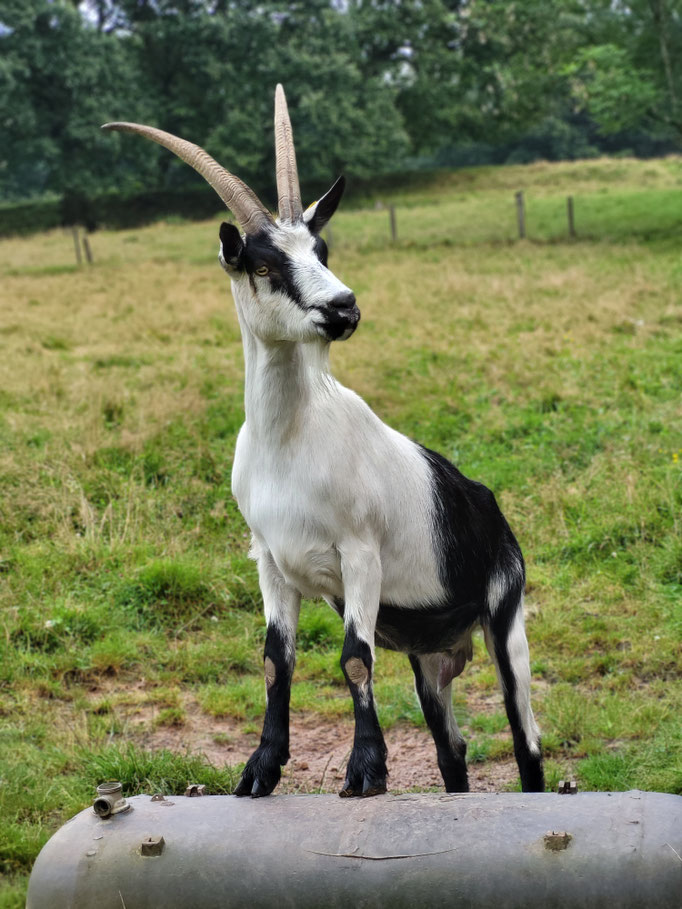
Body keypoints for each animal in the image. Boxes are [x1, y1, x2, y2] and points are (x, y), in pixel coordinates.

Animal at [103, 85, 544, 798]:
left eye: (323, 249)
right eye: (261, 262)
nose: (343, 307)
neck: (290, 443)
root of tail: (490, 508)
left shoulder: (360, 555)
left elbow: (355, 658)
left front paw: (365, 770)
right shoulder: (269, 561)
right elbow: (274, 662)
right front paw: (260, 768)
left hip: (505, 613)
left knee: (525, 737)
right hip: (429, 656)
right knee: (452, 750)